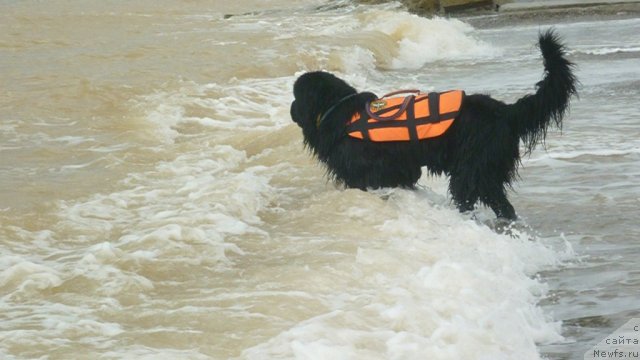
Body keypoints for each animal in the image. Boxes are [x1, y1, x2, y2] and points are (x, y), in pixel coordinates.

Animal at [288, 31, 576, 221]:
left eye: (296, 95)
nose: (290, 109)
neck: (338, 110)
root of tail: (504, 111)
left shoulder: (365, 171)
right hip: (487, 170)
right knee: (501, 203)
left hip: (472, 167)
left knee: (470, 193)